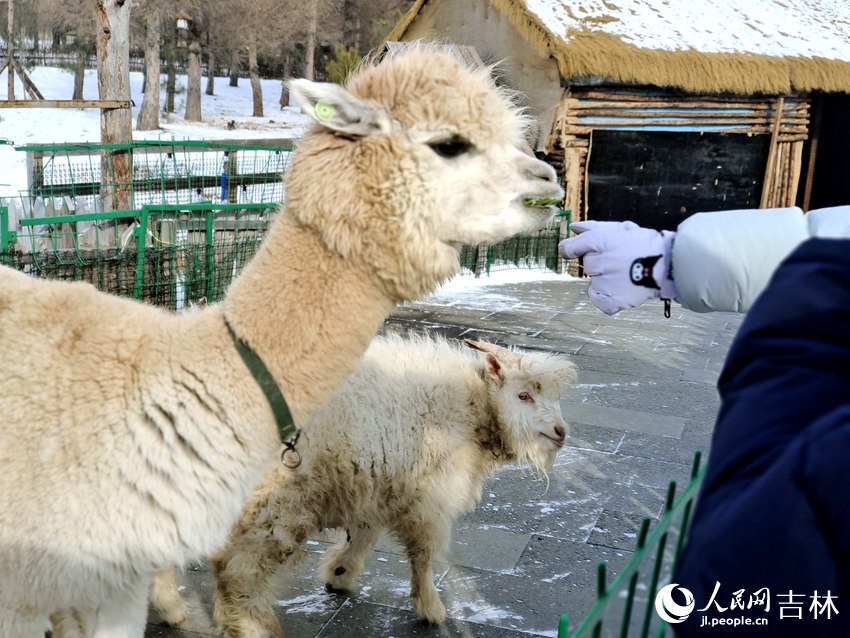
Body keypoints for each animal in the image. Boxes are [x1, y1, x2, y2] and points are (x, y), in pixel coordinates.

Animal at [207, 336, 576, 638]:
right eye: (524, 395)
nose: (561, 432)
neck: (470, 406)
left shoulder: (373, 485)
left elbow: (363, 534)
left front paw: (339, 574)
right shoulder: (428, 498)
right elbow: (423, 554)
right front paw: (430, 607)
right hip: (272, 504)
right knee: (238, 572)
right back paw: (250, 627)